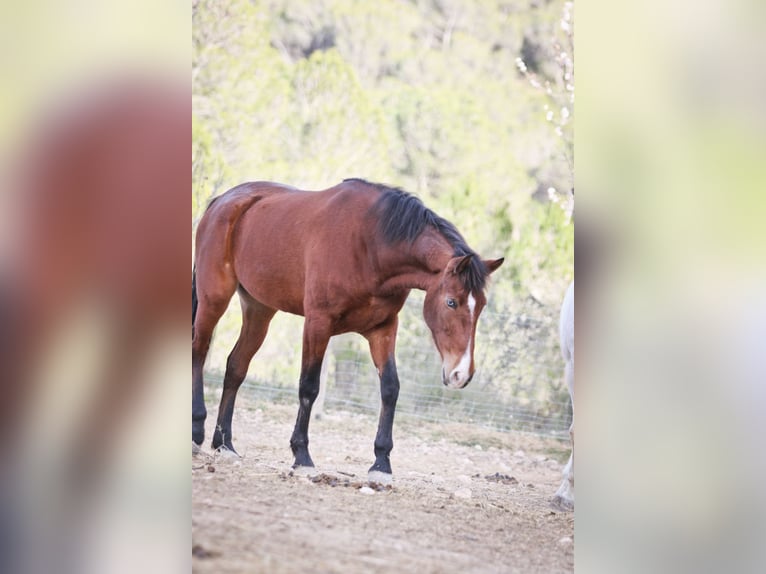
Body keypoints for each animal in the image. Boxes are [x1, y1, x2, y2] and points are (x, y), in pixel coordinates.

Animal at [192, 179, 504, 482]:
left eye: (481, 305)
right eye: (451, 302)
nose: (461, 374)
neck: (370, 246)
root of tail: (222, 202)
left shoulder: (383, 328)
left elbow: (390, 388)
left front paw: (381, 463)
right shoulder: (318, 323)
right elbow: (309, 386)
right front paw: (302, 456)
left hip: (259, 309)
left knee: (236, 366)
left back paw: (224, 444)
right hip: (214, 299)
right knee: (199, 352)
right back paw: (197, 433)